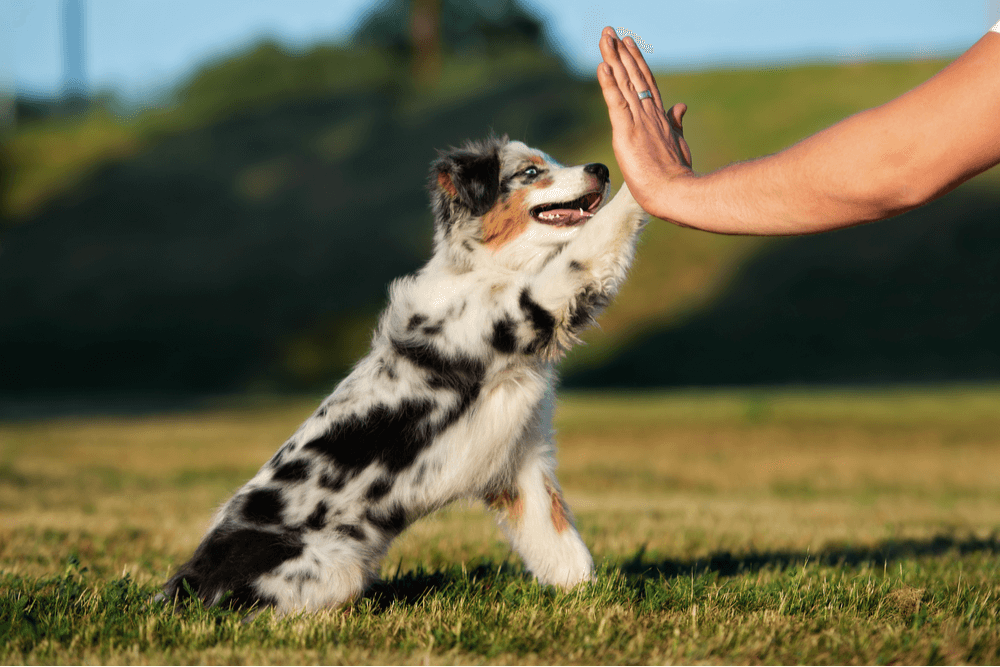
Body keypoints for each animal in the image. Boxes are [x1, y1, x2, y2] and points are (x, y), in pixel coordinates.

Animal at [162, 134, 648, 616]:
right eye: (530, 172)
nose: (601, 168)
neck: (490, 269)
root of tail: (188, 584)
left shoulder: (522, 461)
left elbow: (560, 544)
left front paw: (590, 599)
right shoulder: (535, 304)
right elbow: (593, 243)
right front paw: (643, 172)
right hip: (333, 567)